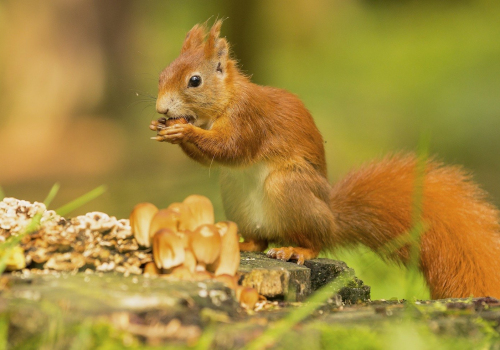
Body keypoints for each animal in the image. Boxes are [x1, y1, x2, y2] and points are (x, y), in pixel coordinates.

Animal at [150, 20, 500, 298]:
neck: (225, 101)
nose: (161, 108)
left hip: (289, 188)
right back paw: (245, 243)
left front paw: (182, 130)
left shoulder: (250, 120)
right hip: (236, 196)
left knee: (314, 242)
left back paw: (295, 249)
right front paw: (163, 127)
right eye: (161, 75)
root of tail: (331, 220)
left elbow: (231, 148)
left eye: (195, 80)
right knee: (261, 241)